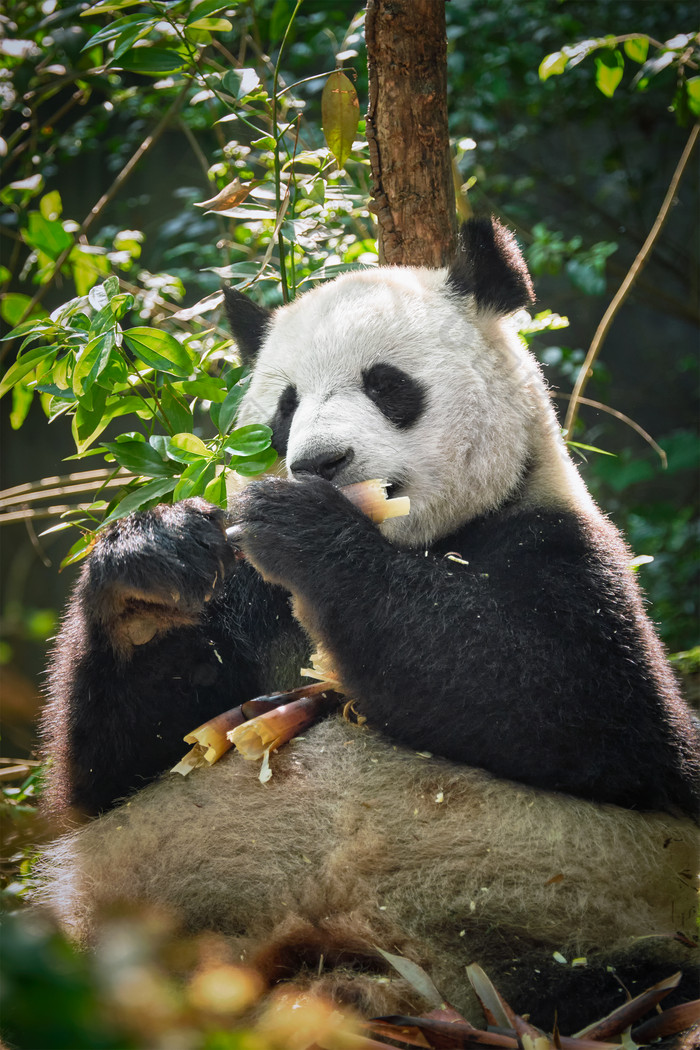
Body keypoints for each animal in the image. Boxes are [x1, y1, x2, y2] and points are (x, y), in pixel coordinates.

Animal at [38, 217, 700, 1029]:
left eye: (387, 385)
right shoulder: (247, 597)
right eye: (285, 407)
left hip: (579, 925)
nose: (320, 463)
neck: (413, 541)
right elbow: (112, 773)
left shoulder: (561, 551)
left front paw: (308, 531)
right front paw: (151, 561)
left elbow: (576, 708)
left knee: (620, 978)